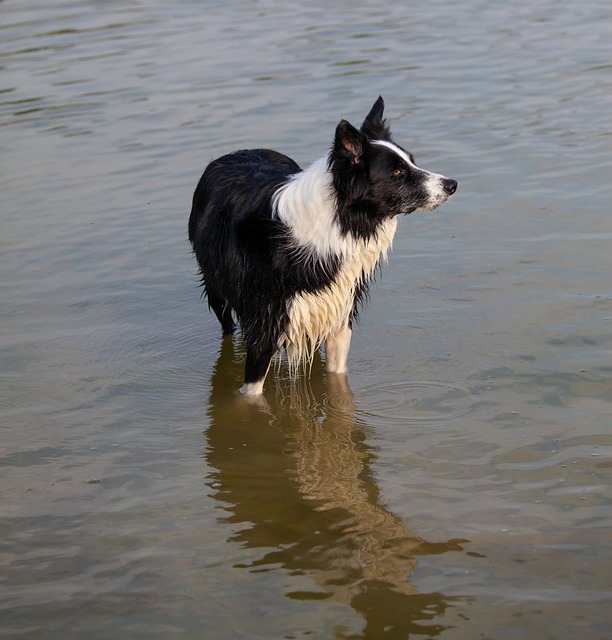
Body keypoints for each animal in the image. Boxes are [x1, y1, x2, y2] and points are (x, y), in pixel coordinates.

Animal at [189, 96, 456, 396]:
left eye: (412, 162)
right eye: (397, 171)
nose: (452, 184)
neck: (339, 223)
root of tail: (234, 153)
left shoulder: (338, 314)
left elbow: (338, 382)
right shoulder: (264, 328)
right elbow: (251, 395)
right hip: (218, 291)